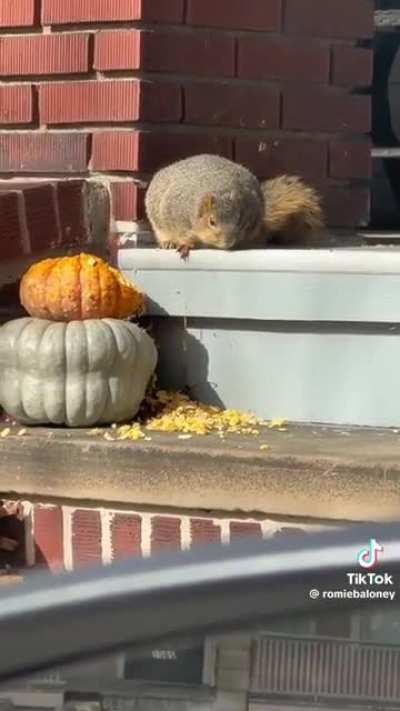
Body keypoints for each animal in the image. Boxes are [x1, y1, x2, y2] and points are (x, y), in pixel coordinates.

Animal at [145, 154, 324, 258]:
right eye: (212, 221)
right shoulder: (175, 215)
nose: (228, 243)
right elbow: (182, 234)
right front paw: (185, 245)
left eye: (239, 220)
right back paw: (168, 243)